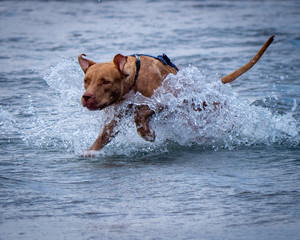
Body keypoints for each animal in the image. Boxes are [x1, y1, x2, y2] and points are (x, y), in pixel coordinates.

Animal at [78, 34, 274, 153]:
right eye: (86, 80)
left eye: (105, 81)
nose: (86, 97)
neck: (133, 78)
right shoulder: (115, 117)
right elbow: (104, 136)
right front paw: (89, 152)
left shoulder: (167, 99)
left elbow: (140, 113)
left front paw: (147, 133)